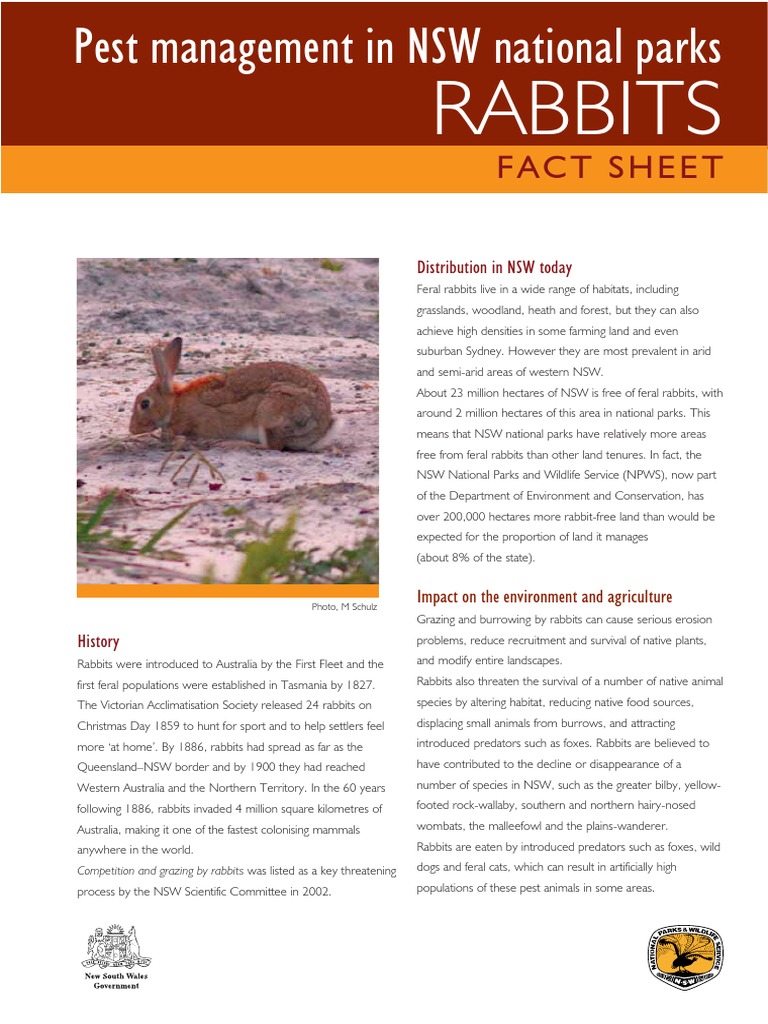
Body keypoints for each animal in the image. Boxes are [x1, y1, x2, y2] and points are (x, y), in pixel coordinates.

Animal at [129, 337, 334, 451]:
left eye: (144, 403)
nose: (132, 429)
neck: (175, 405)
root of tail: (320, 428)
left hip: (270, 411)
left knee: (271, 446)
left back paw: (231, 444)